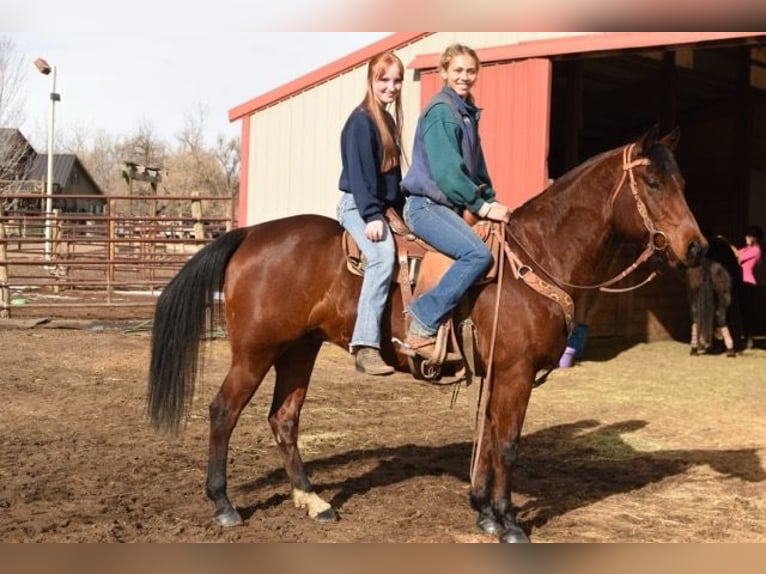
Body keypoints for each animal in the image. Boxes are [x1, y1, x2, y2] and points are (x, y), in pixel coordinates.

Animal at [146, 127, 708, 544]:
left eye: (682, 180)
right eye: (653, 183)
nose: (697, 247)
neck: (535, 256)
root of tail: (249, 235)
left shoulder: (499, 372)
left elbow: (488, 439)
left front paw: (482, 511)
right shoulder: (515, 371)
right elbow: (508, 444)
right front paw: (508, 522)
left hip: (298, 350)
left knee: (284, 419)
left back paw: (313, 500)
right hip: (255, 351)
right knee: (223, 412)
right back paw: (223, 505)